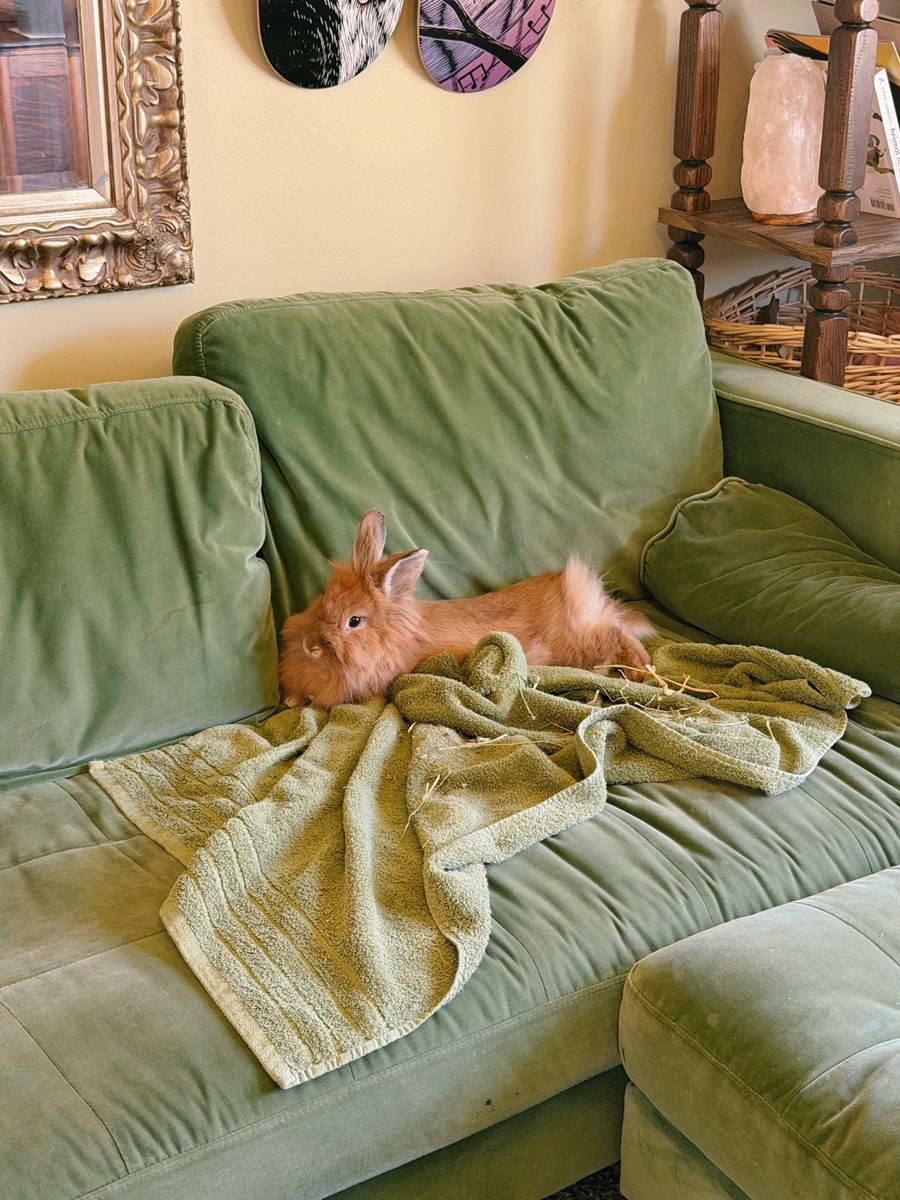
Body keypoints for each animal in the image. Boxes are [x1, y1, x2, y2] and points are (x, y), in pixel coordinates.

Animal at [279, 510, 655, 708]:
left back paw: (640, 672)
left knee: (618, 636)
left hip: (582, 642)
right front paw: (292, 701)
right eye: (322, 600)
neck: (392, 637)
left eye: (354, 621)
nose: (310, 646)